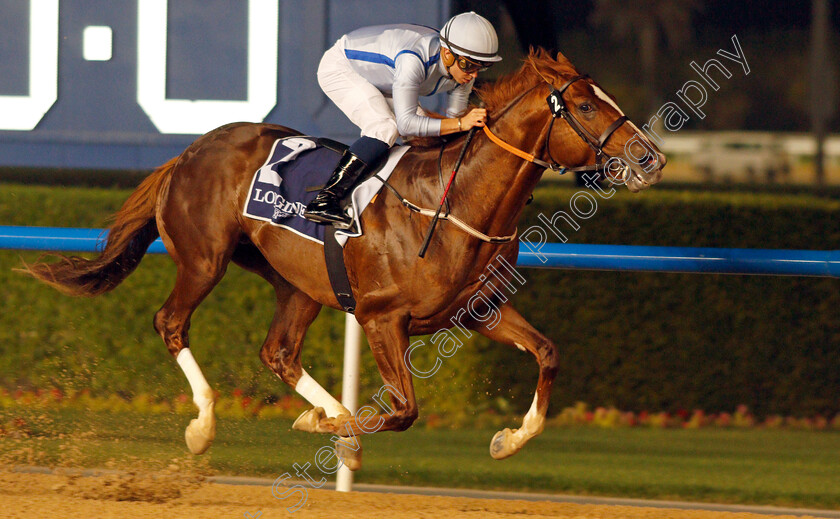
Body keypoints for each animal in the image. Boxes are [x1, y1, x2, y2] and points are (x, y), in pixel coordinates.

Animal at [21, 49, 664, 472]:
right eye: (584, 105)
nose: (651, 157)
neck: (451, 203)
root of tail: (191, 149)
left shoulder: (478, 311)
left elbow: (548, 353)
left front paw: (507, 440)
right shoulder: (382, 319)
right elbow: (404, 409)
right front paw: (333, 427)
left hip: (297, 283)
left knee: (278, 351)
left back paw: (326, 419)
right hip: (205, 260)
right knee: (171, 322)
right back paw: (205, 426)